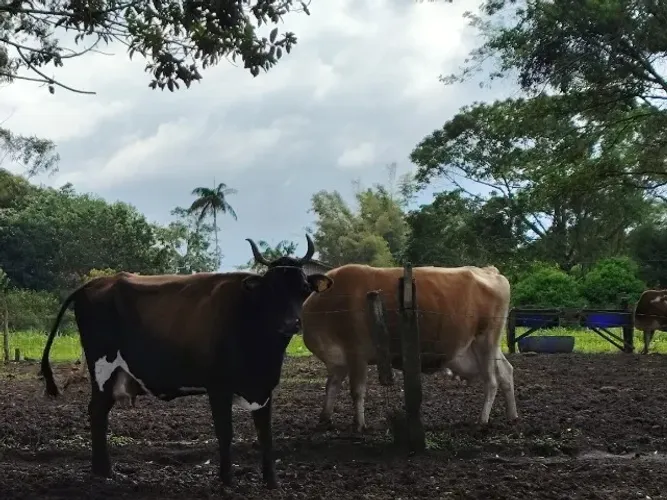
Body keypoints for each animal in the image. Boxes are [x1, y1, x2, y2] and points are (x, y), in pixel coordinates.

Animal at [39, 234, 333, 489]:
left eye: (304, 289)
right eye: (271, 290)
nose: (291, 323)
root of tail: (93, 284)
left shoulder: (264, 387)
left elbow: (265, 434)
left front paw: (271, 482)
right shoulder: (218, 387)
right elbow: (225, 432)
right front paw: (227, 481)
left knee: (100, 411)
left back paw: (104, 472)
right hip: (102, 368)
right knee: (97, 412)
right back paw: (103, 472)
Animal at [301, 263, 518, 432]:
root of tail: (488, 270)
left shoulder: (356, 352)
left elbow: (357, 391)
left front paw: (359, 425)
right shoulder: (338, 360)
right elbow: (331, 386)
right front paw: (324, 419)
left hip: (486, 340)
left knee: (492, 381)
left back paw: (482, 421)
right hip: (481, 346)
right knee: (506, 372)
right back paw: (512, 416)